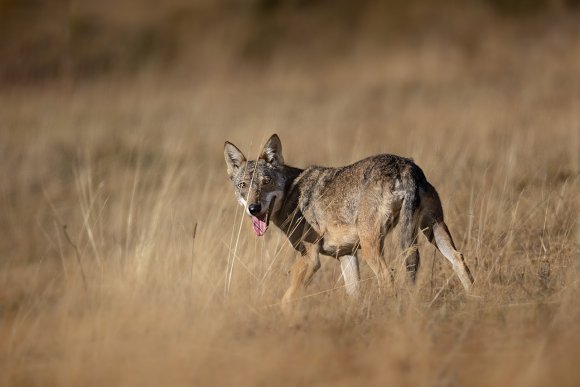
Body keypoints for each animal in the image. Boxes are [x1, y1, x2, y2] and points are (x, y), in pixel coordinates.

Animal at [224, 135, 474, 308]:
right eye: (243, 186)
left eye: (265, 182)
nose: (254, 208)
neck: (291, 192)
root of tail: (404, 165)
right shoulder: (346, 255)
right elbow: (353, 294)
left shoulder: (310, 258)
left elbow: (288, 299)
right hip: (432, 230)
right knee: (459, 260)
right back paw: (476, 300)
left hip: (373, 246)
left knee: (388, 277)